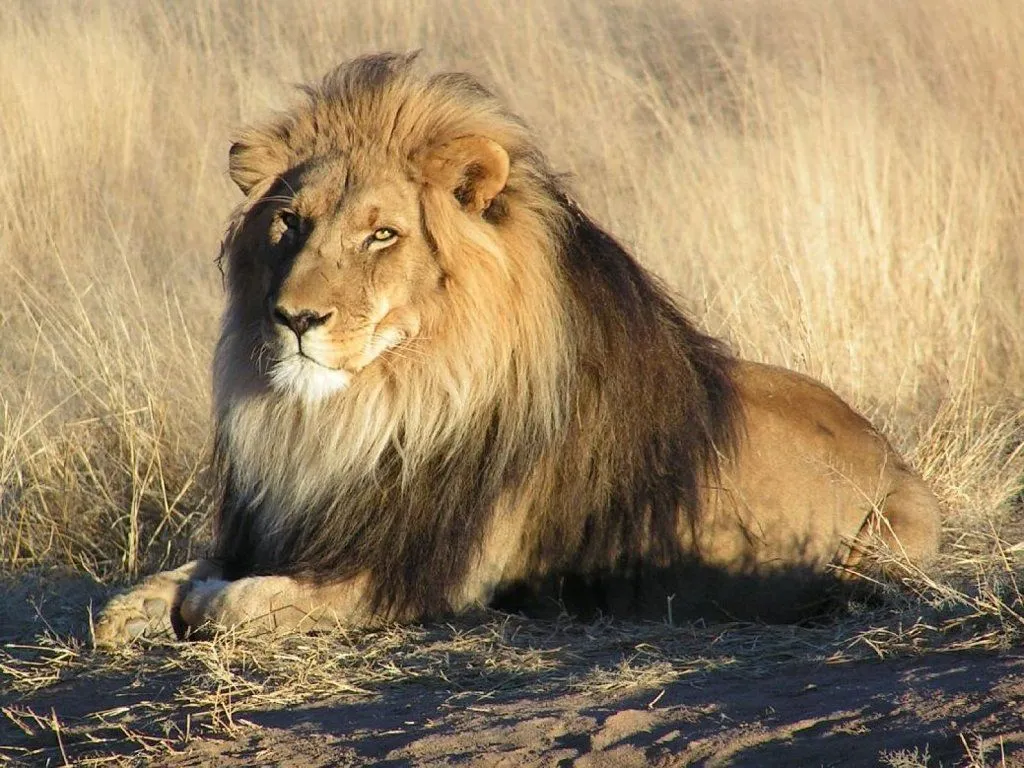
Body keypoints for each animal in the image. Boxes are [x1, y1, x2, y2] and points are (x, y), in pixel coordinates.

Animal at [94, 51, 937, 647]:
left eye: (382, 234)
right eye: (289, 223)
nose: (294, 317)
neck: (370, 410)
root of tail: (892, 452)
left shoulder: (419, 577)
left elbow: (235, 603)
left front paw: (201, 603)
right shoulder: (294, 525)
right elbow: (162, 583)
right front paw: (137, 608)